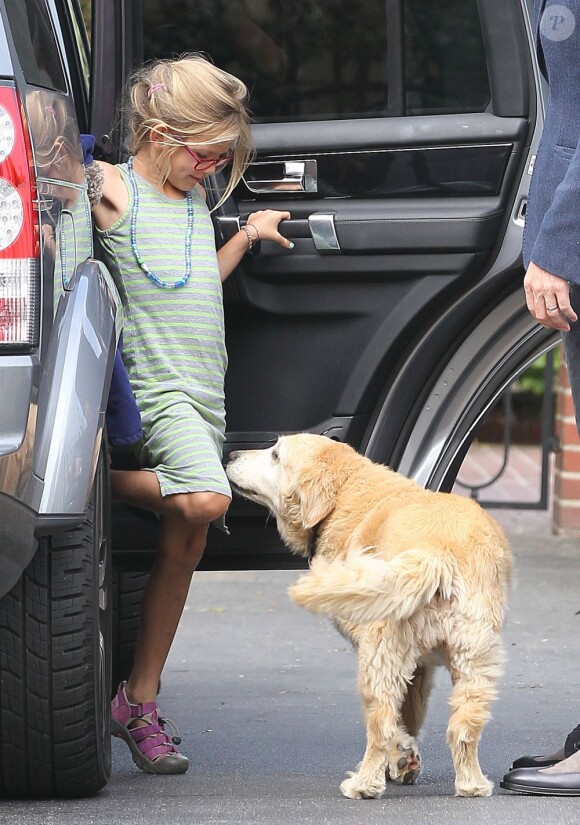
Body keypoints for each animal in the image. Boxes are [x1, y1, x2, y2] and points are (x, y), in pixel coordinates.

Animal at [227, 434, 512, 796]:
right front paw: (404, 760)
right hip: (476, 660)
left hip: (380, 654)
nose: (231, 454)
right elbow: (411, 715)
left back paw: (364, 784)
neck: (344, 493)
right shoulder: (420, 668)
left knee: (380, 722)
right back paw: (471, 784)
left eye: (276, 455)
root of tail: (434, 553)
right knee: (464, 725)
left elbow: (396, 722)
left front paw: (399, 757)